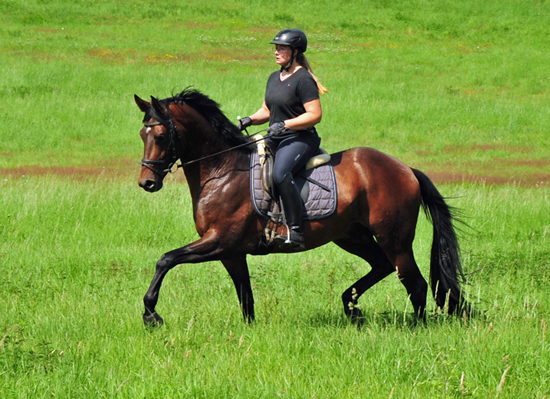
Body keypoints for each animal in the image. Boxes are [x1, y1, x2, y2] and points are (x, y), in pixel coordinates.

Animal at [136, 89, 468, 326]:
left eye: (161, 136)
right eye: (142, 135)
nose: (146, 182)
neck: (223, 171)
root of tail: (406, 169)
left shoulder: (220, 241)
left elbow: (166, 260)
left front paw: (151, 314)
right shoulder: (232, 253)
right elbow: (246, 297)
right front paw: (249, 331)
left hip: (394, 240)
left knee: (416, 283)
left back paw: (415, 328)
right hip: (352, 236)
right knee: (382, 266)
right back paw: (351, 305)